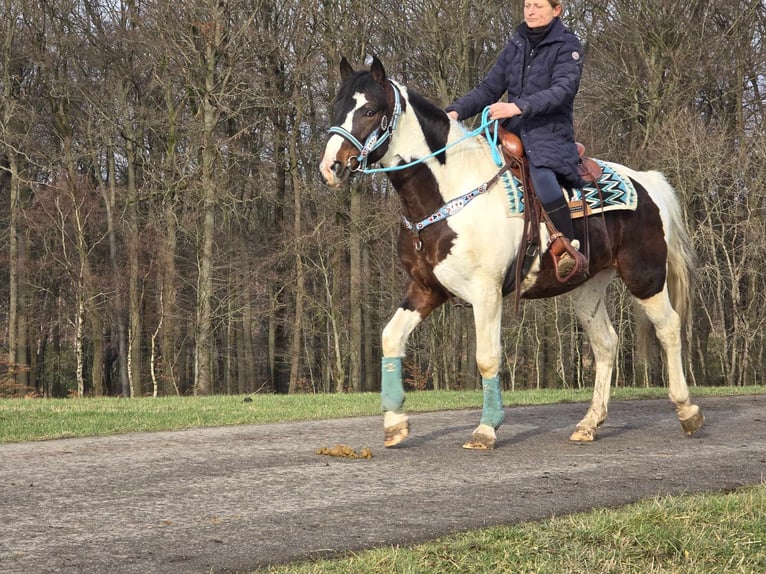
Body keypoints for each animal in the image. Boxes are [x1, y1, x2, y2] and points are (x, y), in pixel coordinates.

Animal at [320, 56, 708, 452]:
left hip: (645, 275)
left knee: (669, 327)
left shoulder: (486, 293)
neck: (451, 193)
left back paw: (687, 411)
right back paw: (589, 423)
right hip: (589, 286)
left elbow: (487, 359)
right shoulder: (425, 289)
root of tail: (646, 182)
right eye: (336, 106)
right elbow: (391, 338)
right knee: (605, 343)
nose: (330, 167)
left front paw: (486, 429)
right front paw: (395, 423)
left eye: (369, 110)